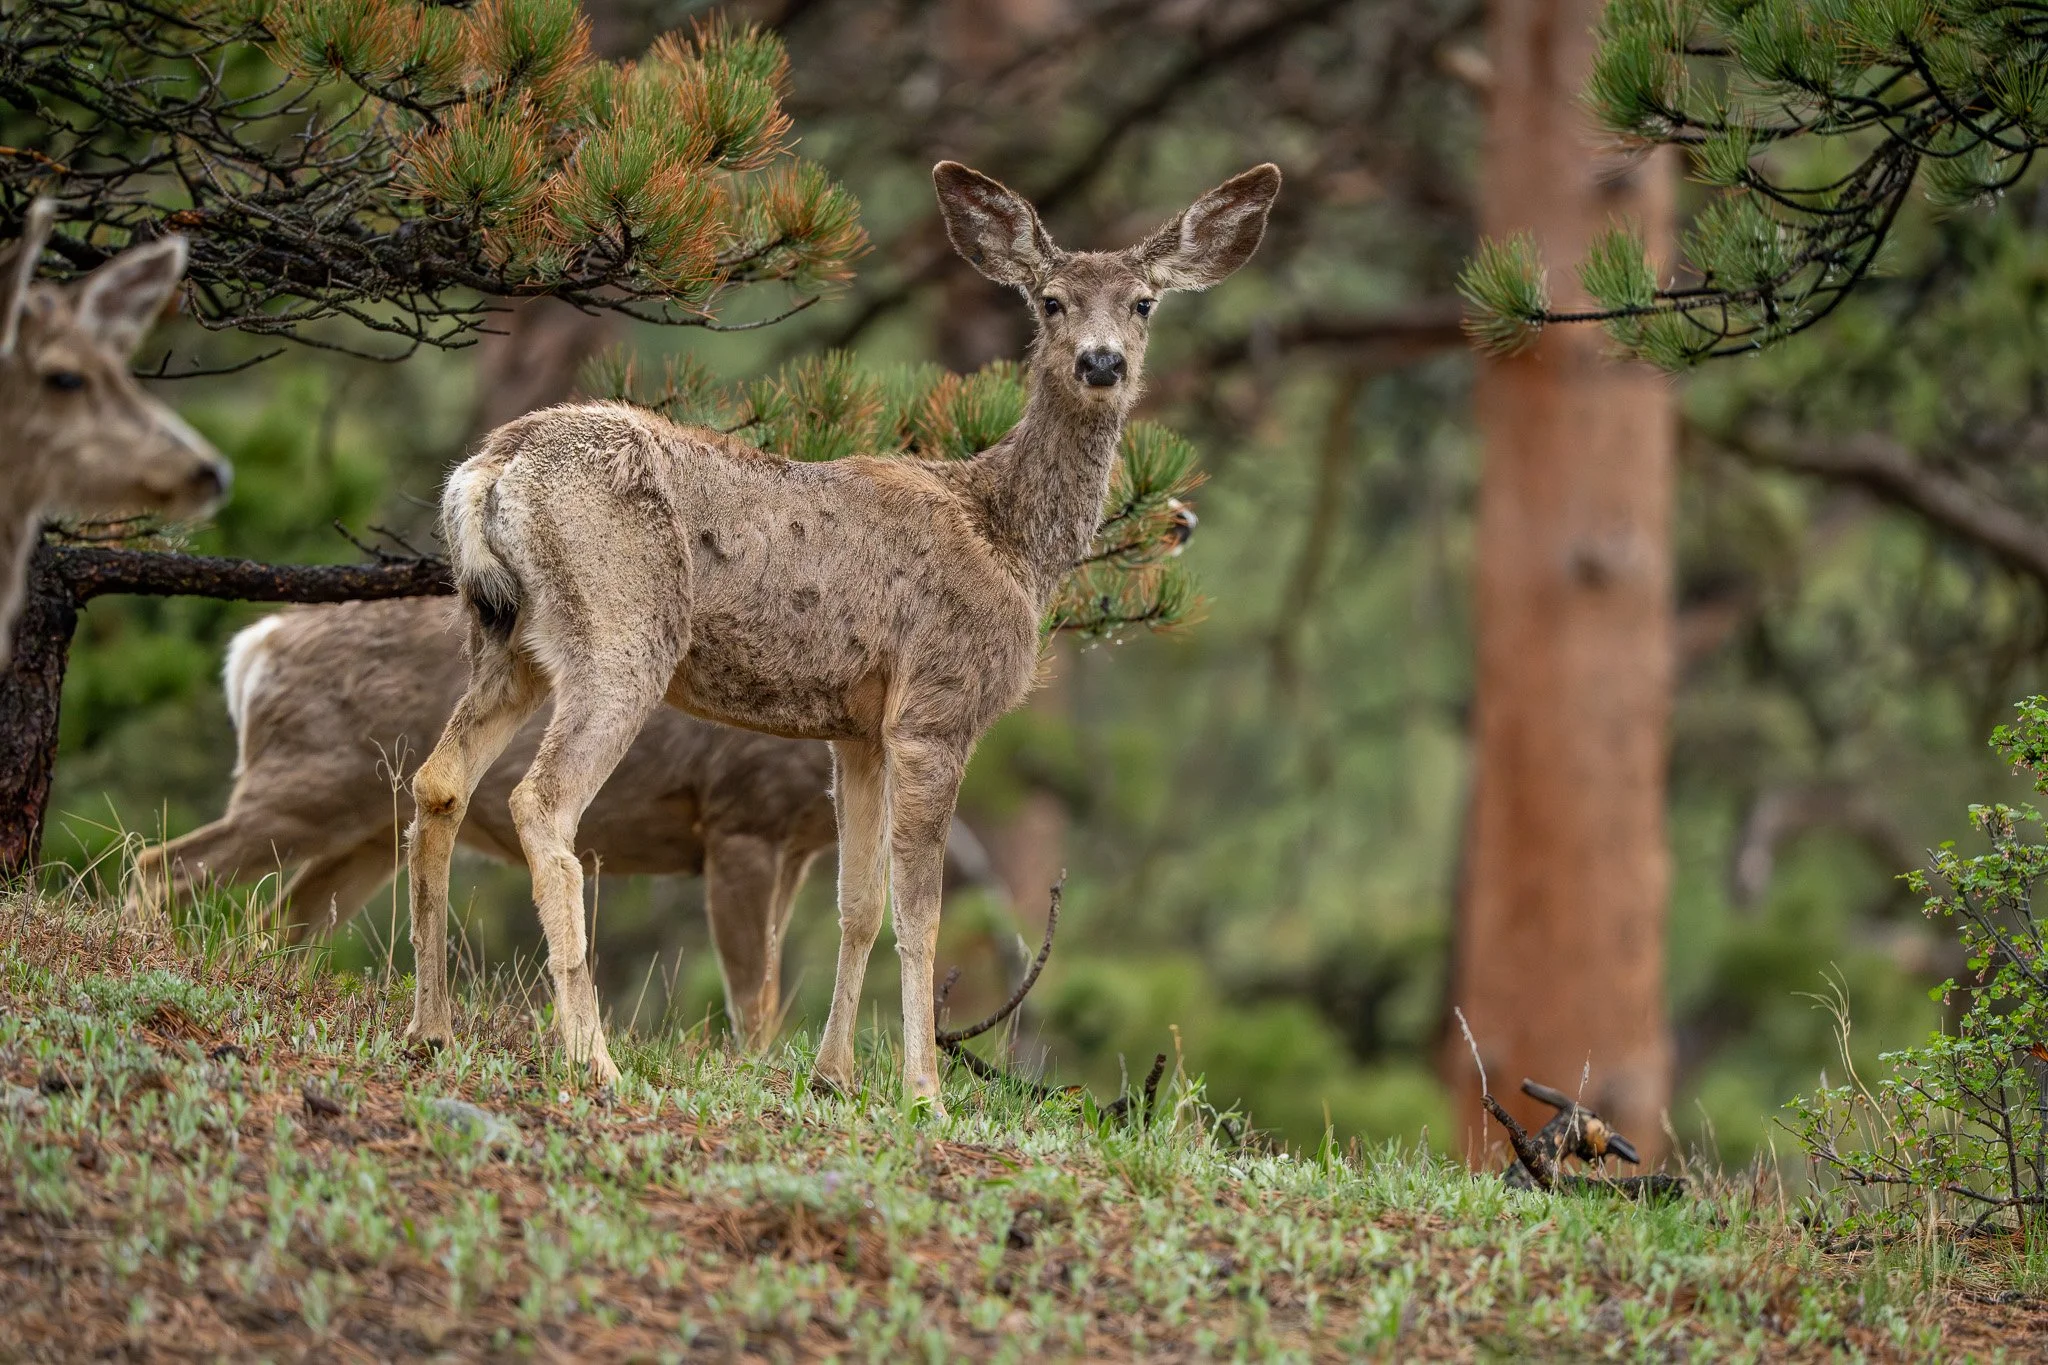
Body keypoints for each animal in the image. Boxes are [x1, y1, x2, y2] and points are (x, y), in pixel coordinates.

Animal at [125, 595, 1016, 1050]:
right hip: (296, 785)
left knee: (280, 919)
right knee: (161, 865)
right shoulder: (738, 821)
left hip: (363, 828)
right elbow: (751, 995)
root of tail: (255, 646)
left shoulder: (794, 847)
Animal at [406, 160, 1280, 1113]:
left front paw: (833, 1074)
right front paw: (924, 1089)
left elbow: (857, 903)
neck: (1010, 540)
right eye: (1050, 301)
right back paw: (591, 1058)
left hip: (506, 638)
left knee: (437, 780)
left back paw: (430, 1026)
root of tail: (495, 465)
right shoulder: (936, 706)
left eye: (1144, 301)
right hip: (621, 629)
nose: (1101, 361)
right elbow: (920, 909)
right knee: (542, 802)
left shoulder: (856, 729)